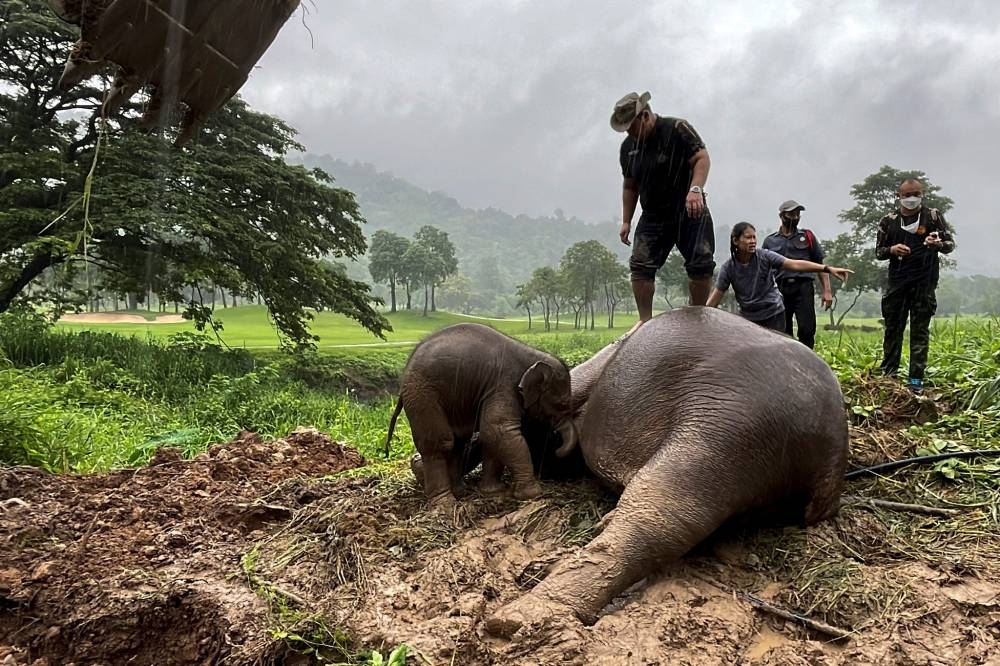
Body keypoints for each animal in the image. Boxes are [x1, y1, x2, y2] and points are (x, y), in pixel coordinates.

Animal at [390, 322, 580, 504]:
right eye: (562, 404)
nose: (557, 451)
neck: (532, 355)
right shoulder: (504, 385)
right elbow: (498, 430)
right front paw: (532, 494)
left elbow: (490, 437)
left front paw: (494, 492)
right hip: (422, 394)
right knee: (440, 443)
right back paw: (445, 504)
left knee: (459, 441)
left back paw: (460, 492)